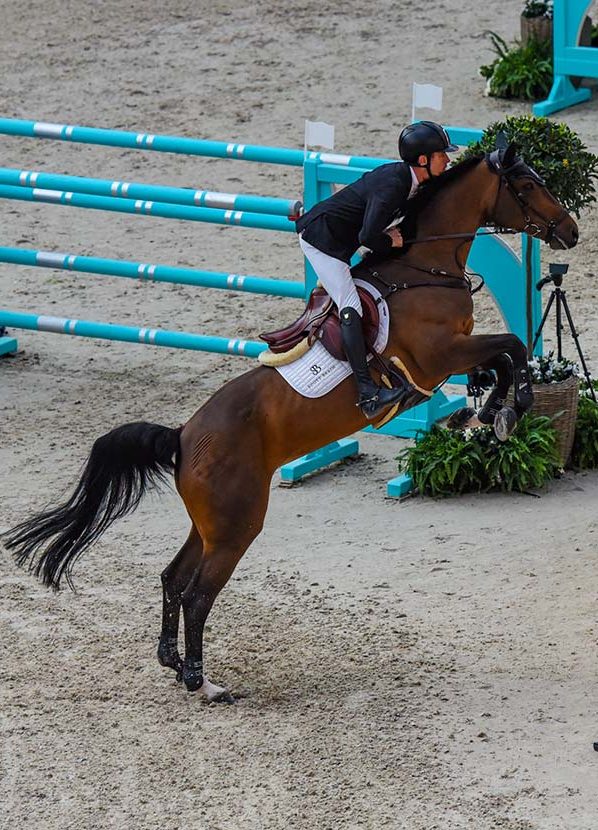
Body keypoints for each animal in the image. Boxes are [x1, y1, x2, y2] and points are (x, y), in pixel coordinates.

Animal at [3, 143, 579, 703]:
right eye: (526, 184)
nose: (570, 231)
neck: (423, 266)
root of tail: (183, 437)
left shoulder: (451, 358)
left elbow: (500, 360)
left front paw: (487, 411)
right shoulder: (440, 356)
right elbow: (512, 346)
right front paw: (509, 408)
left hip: (211, 524)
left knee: (173, 578)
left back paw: (173, 663)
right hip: (236, 526)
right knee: (198, 594)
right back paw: (202, 682)